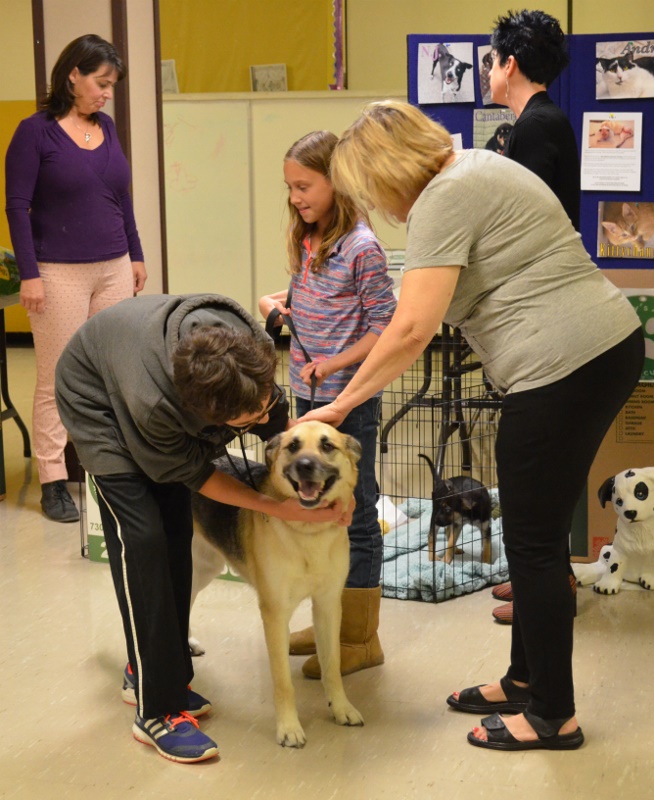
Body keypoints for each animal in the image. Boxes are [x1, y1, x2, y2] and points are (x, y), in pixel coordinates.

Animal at [190, 422, 366, 748]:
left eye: (327, 446)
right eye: (293, 446)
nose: (305, 465)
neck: (308, 533)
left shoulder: (328, 606)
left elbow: (332, 667)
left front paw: (341, 708)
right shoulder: (274, 613)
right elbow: (283, 682)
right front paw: (288, 727)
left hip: (203, 569)